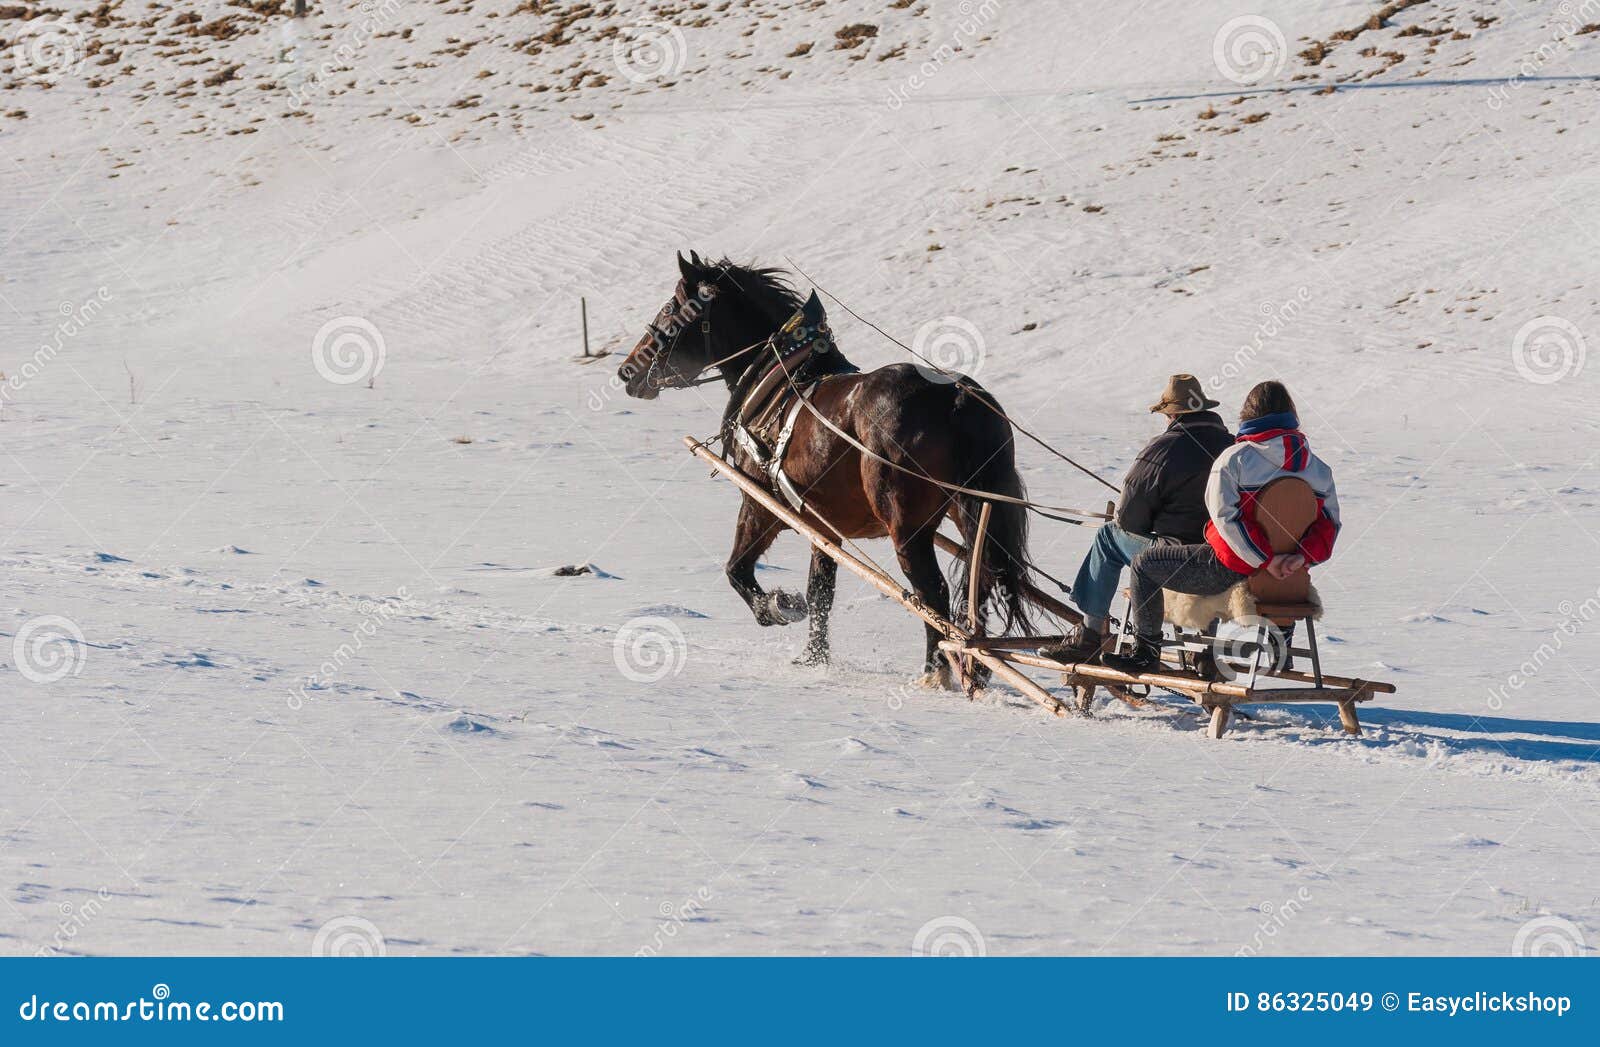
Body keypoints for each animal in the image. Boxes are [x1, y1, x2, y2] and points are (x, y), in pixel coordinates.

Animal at [619, 251, 1036, 687]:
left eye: (671, 308)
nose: (627, 371)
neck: (780, 375)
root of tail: (956, 397)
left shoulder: (760, 504)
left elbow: (738, 571)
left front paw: (779, 606)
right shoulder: (823, 525)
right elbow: (820, 591)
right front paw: (813, 658)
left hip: (907, 528)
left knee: (933, 595)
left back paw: (935, 672)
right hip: (968, 511)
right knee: (979, 583)